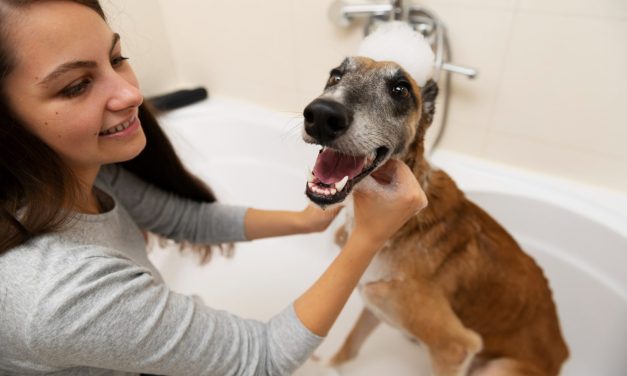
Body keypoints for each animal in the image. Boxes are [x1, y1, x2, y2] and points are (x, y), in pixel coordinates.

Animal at [302, 56, 568, 376]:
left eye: (401, 89)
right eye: (336, 75)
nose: (322, 114)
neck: (403, 229)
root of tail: (562, 354)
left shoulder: (454, 347)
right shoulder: (373, 304)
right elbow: (349, 348)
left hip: (497, 368)